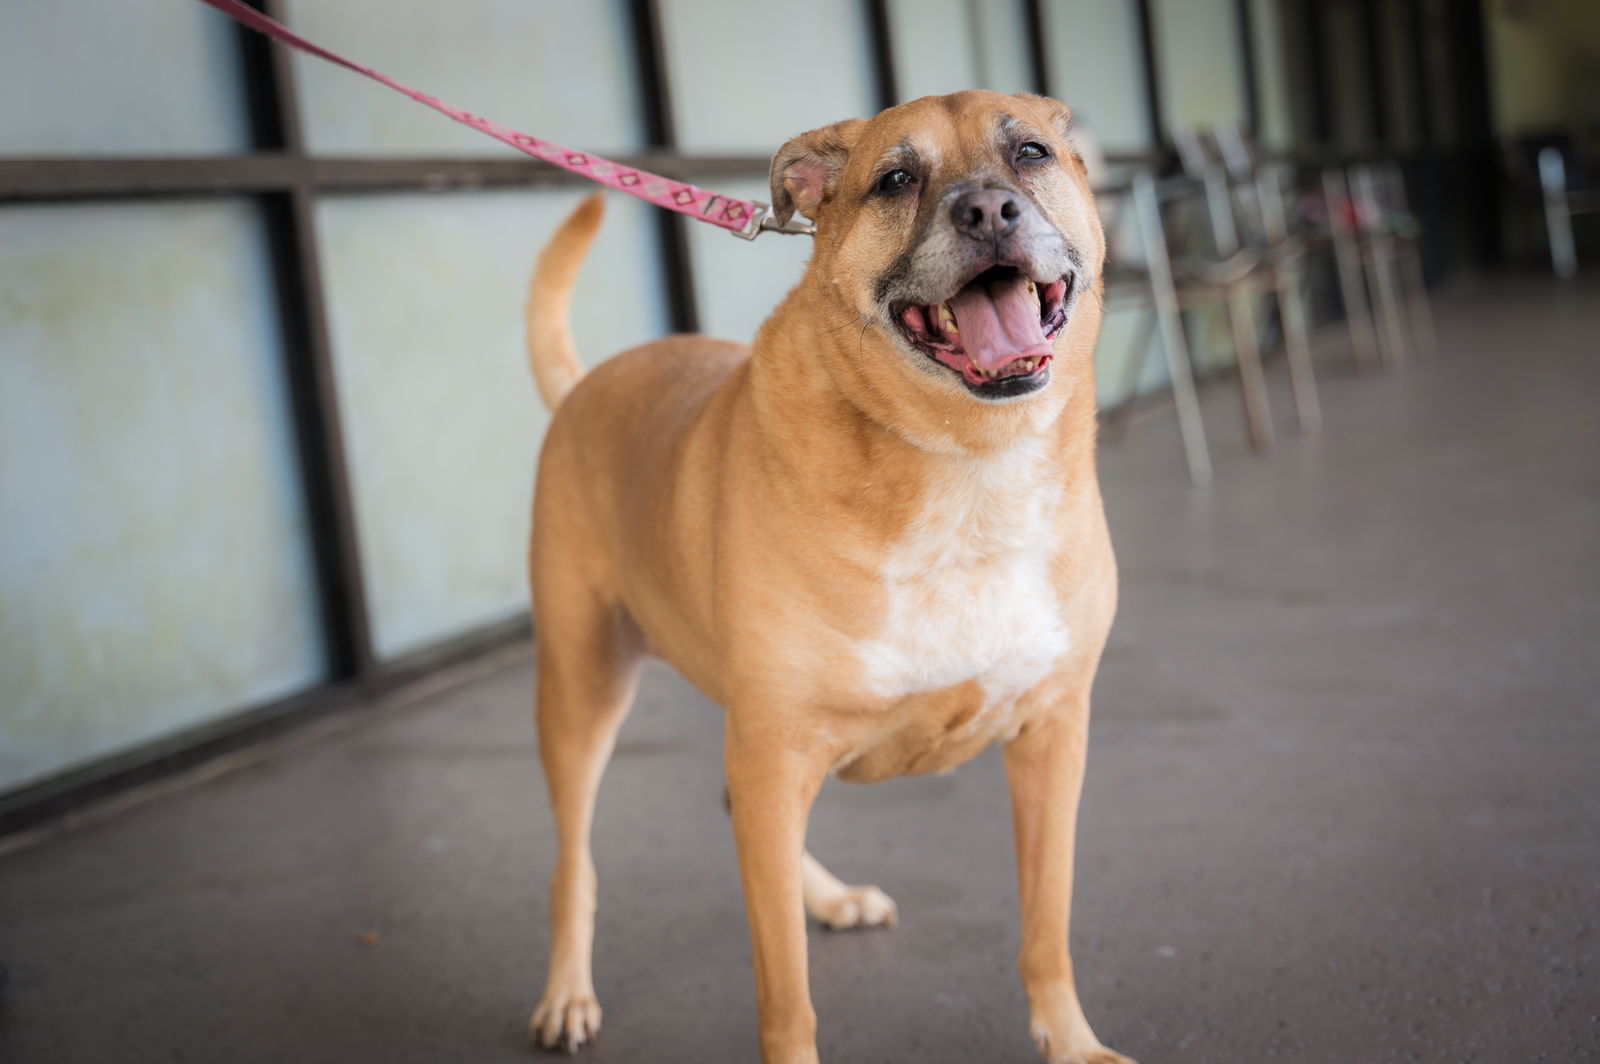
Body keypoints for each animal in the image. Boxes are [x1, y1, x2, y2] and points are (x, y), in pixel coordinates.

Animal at [521, 93, 1126, 1062]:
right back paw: (568, 992)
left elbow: (1047, 925)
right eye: (897, 178)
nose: (989, 211)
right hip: (582, 694)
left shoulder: (1052, 734)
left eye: (1031, 153)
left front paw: (1070, 1041)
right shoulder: (777, 752)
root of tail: (589, 385)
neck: (965, 464)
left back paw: (830, 898)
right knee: (574, 865)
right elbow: (786, 995)